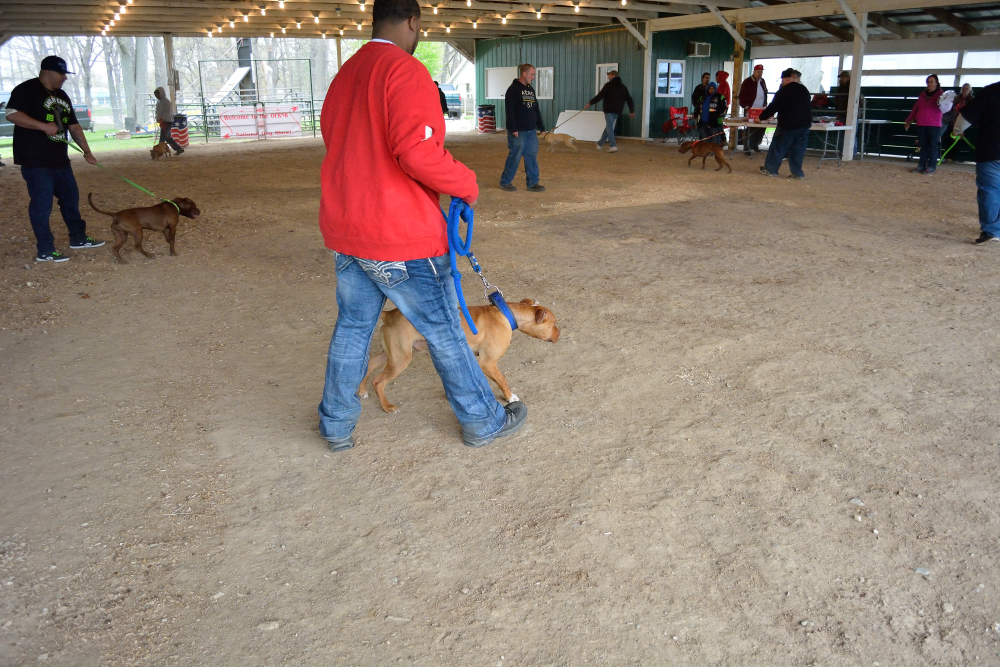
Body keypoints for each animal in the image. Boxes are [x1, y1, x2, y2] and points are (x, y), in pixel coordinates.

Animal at [360, 298, 560, 413]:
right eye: (553, 324)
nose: (561, 332)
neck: (506, 314)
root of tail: (389, 313)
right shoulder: (487, 362)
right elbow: (502, 380)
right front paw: (510, 397)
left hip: (392, 354)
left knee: (368, 365)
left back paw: (362, 391)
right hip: (400, 360)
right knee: (378, 381)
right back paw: (387, 407)